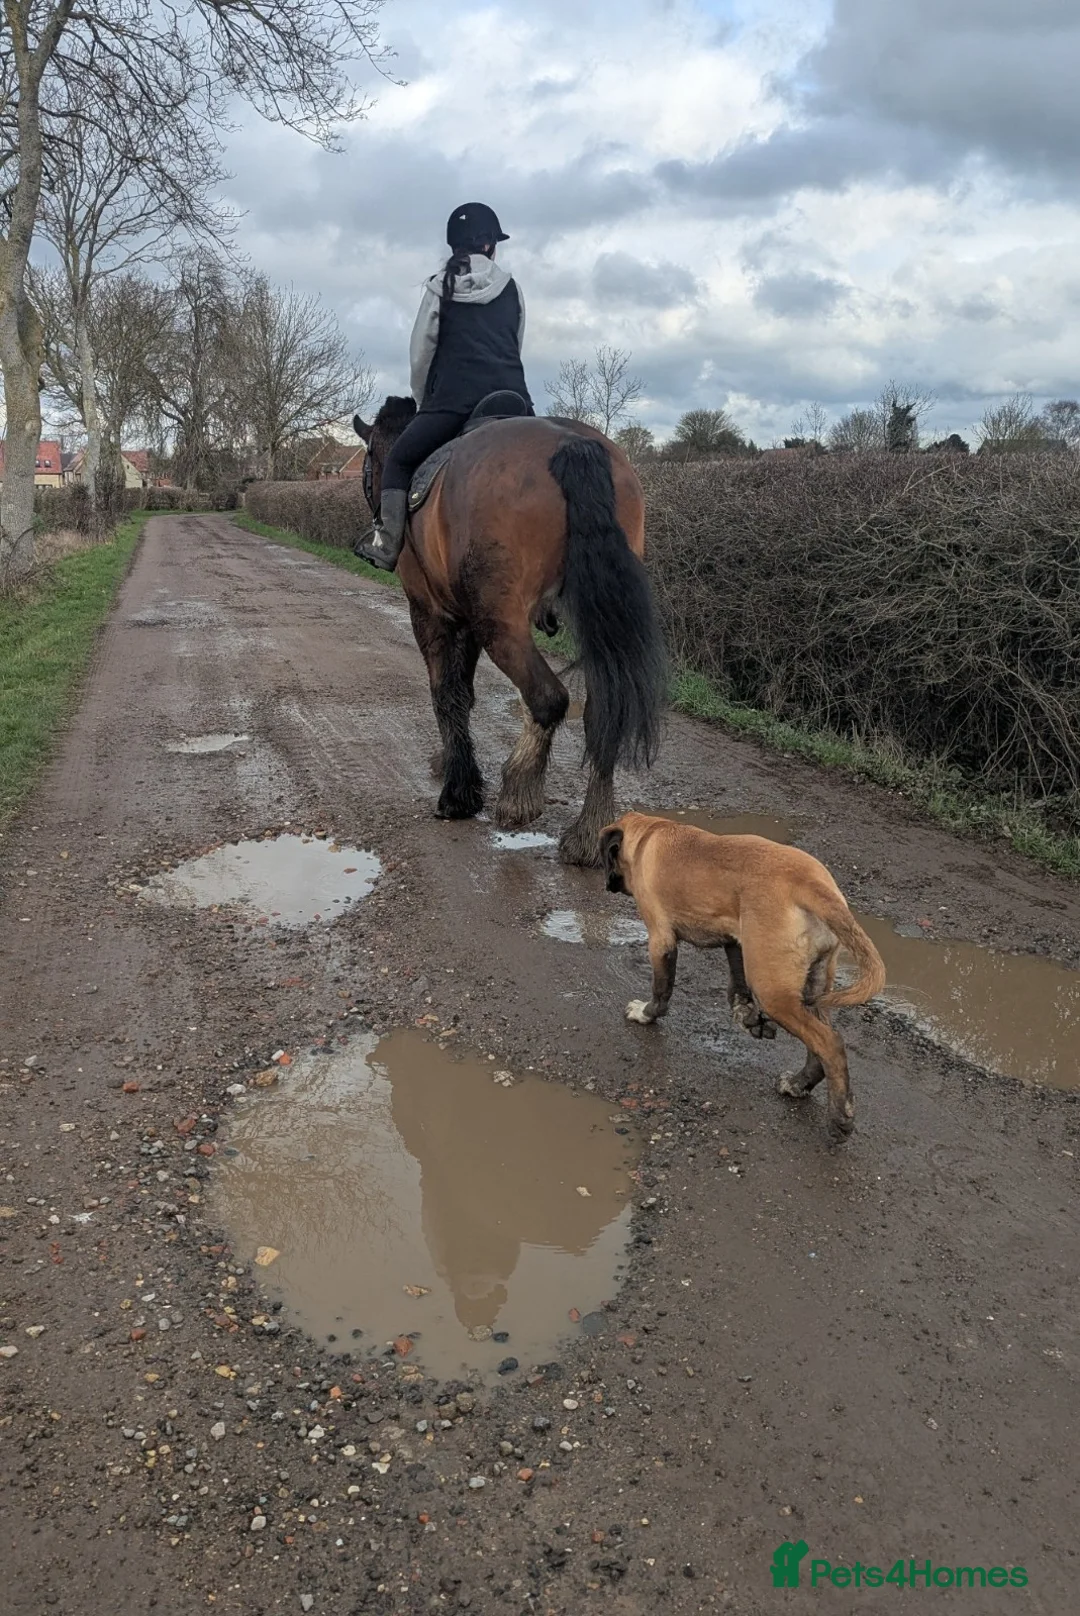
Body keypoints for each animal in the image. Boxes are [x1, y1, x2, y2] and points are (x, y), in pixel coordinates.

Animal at [352, 396, 666, 866]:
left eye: (369, 460)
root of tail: (571, 444)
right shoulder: (463, 619)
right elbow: (463, 695)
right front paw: (452, 764)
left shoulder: (430, 613)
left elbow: (447, 693)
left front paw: (459, 792)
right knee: (602, 713)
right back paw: (587, 833)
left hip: (498, 619)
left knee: (548, 697)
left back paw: (519, 791)